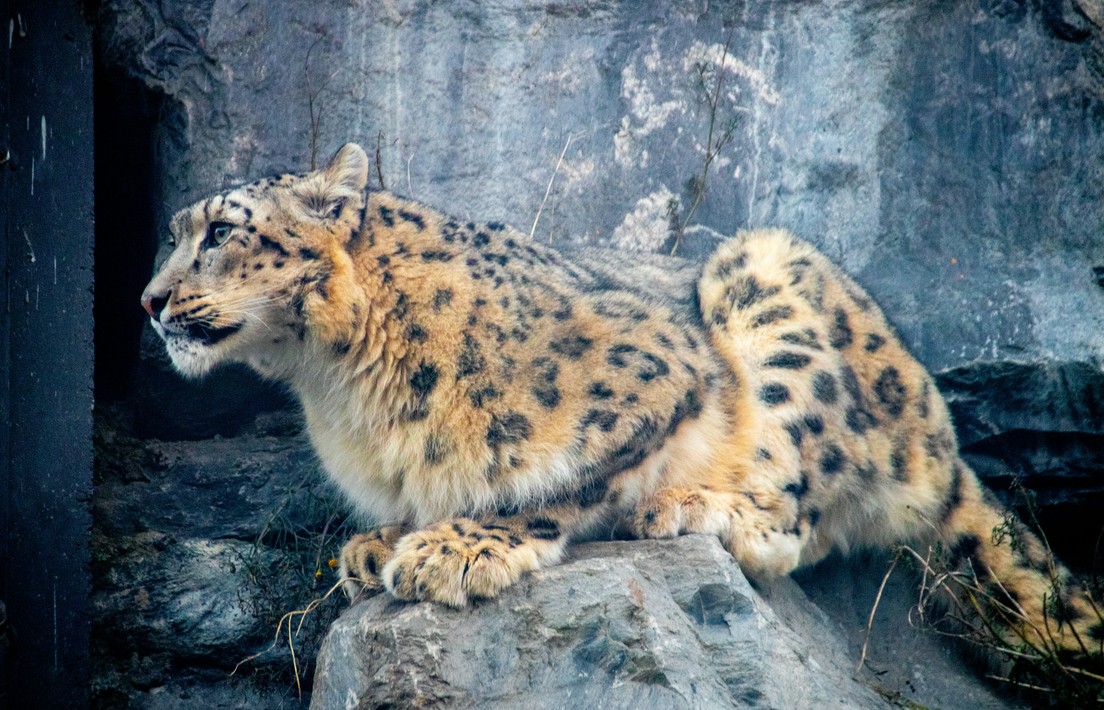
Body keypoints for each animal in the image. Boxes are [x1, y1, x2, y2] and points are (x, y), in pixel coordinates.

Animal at [142, 143, 1101, 666]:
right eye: (175, 234)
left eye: (221, 232)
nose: (149, 301)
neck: (335, 388)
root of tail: (943, 434)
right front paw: (378, 542)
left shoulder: (655, 375)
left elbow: (565, 480)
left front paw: (458, 546)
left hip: (767, 282)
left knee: (799, 515)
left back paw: (693, 506)